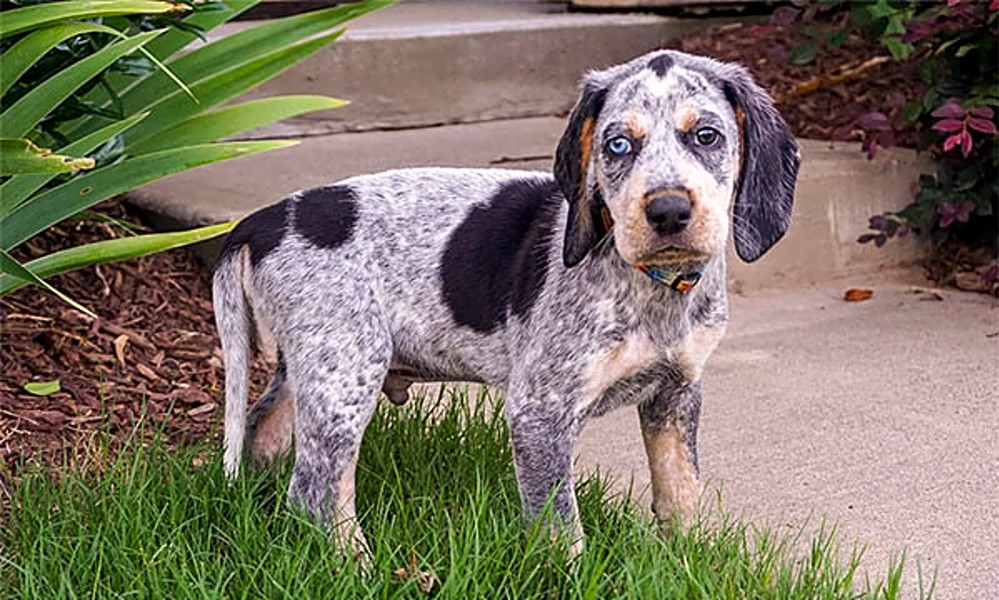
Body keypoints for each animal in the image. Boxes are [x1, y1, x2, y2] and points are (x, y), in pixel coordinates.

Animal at [215, 49, 800, 556]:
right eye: (617, 146)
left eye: (706, 136)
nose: (669, 211)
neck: (654, 289)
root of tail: (260, 222)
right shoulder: (540, 412)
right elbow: (561, 528)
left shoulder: (676, 394)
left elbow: (681, 491)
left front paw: (681, 561)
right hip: (347, 376)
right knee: (314, 492)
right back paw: (356, 567)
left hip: (312, 368)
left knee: (266, 435)